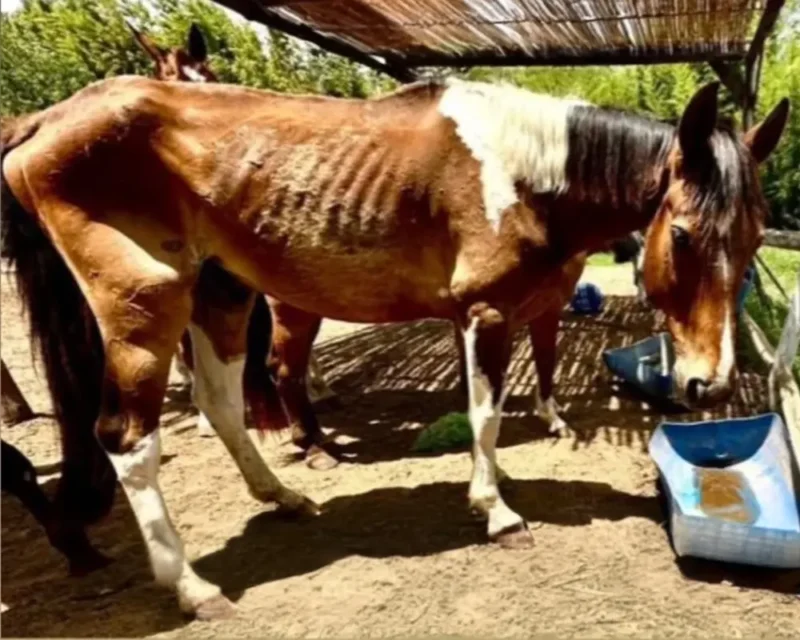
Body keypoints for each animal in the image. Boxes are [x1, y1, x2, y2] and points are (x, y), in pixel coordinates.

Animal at [1, 76, 787, 618]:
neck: (523, 173)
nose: (710, 385)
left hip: (219, 295)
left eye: (754, 237)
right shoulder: (487, 314)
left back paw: (283, 496)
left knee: (221, 405)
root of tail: (44, 122)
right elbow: (485, 416)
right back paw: (194, 587)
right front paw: (496, 511)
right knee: (127, 439)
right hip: (144, 308)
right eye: (681, 235)